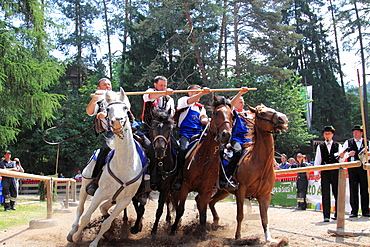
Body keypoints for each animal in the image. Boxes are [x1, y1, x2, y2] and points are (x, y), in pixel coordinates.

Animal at [66, 88, 142, 247]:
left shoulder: (124, 200)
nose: (117, 122)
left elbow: (106, 223)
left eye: (125, 108)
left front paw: (94, 243)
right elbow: (85, 217)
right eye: (108, 109)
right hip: (85, 185)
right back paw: (73, 232)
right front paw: (76, 237)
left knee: (102, 208)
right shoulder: (99, 192)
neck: (124, 165)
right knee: (80, 208)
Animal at [170, 94, 233, 235]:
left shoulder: (206, 190)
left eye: (232, 114)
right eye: (216, 113)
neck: (204, 159)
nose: (226, 135)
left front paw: (202, 233)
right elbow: (180, 210)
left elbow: (203, 213)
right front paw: (172, 231)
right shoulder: (185, 186)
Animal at [210, 104, 288, 243]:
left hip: (223, 191)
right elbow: (240, 215)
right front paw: (238, 236)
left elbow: (264, 218)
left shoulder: (265, 195)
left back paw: (215, 222)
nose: (282, 118)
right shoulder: (241, 191)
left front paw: (269, 238)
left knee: (210, 202)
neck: (258, 162)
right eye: (262, 113)